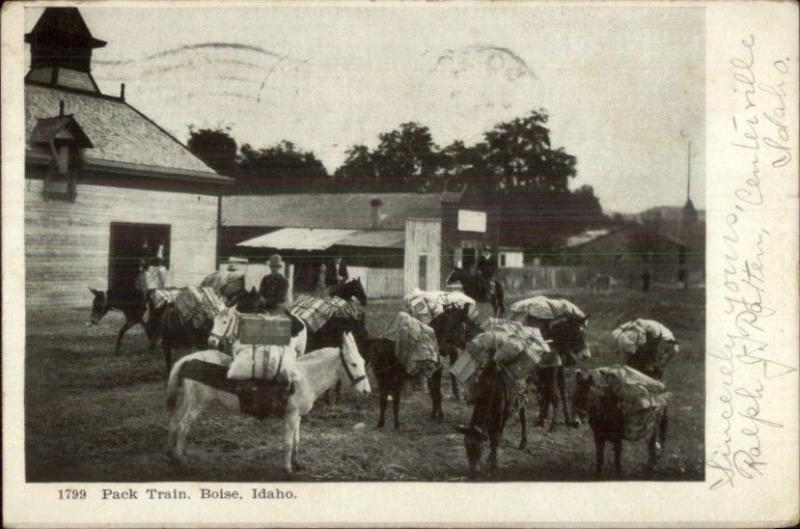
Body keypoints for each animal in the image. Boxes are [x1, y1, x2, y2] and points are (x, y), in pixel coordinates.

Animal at [168, 332, 372, 472]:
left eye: (363, 362)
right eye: (353, 364)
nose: (366, 391)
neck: (305, 377)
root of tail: (188, 359)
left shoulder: (297, 417)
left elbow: (297, 440)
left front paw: (297, 463)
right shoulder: (291, 416)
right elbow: (288, 443)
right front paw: (288, 469)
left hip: (189, 401)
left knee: (175, 422)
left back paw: (174, 454)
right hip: (197, 403)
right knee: (184, 426)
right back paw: (180, 459)